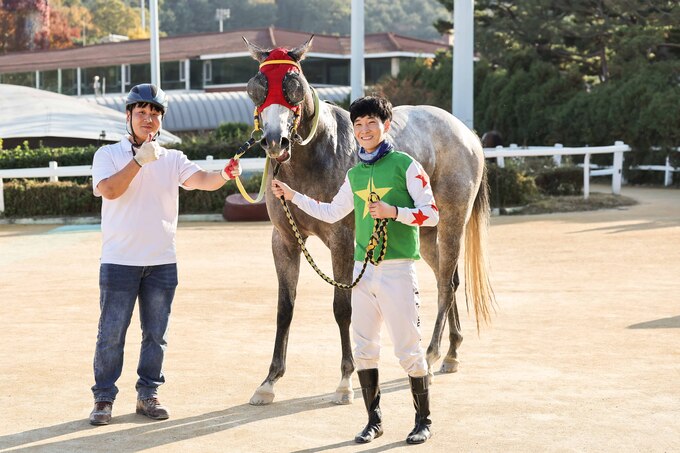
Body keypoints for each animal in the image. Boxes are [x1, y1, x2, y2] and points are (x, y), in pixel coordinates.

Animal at [244, 37, 494, 404]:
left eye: (294, 84)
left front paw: (345, 380)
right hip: (426, 234)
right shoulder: (285, 240)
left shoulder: (342, 240)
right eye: (256, 87)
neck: (316, 155)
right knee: (447, 279)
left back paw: (432, 354)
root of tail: (466, 133)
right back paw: (451, 352)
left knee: (447, 285)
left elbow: (342, 307)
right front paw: (269, 381)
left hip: (450, 223)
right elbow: (285, 308)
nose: (276, 141)